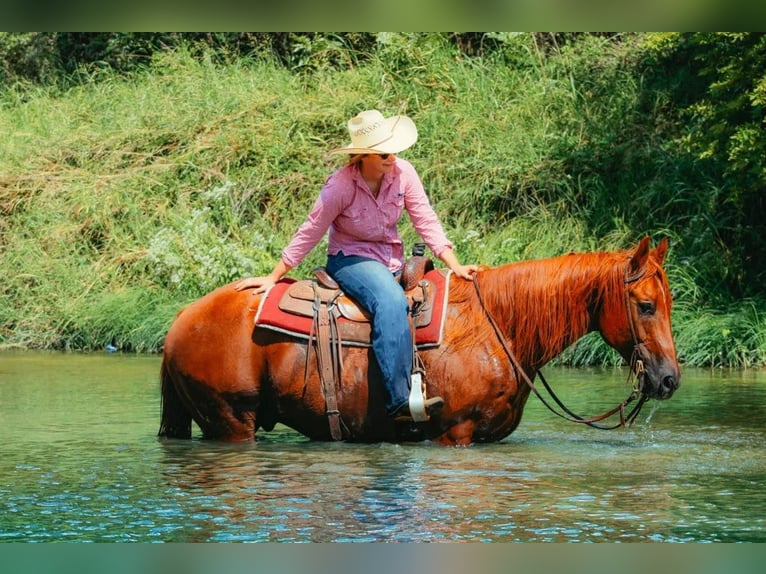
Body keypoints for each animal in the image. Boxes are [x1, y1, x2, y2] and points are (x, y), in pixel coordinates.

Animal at [159, 236, 680, 448]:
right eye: (645, 305)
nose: (669, 380)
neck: (499, 325)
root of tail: (182, 318)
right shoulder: (455, 434)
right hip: (230, 419)